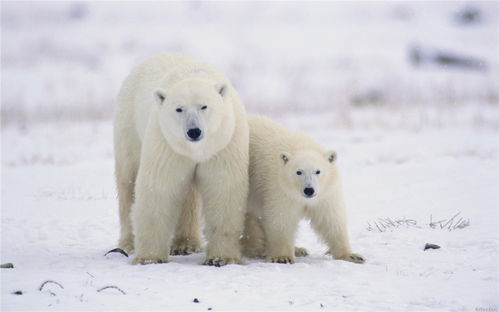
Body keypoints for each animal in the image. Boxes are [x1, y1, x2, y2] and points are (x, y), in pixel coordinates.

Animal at [115, 54, 252, 266]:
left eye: (204, 106)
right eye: (179, 109)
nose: (194, 131)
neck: (196, 150)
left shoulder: (223, 143)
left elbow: (223, 188)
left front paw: (220, 258)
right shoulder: (166, 143)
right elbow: (160, 187)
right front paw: (150, 258)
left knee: (188, 195)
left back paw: (186, 244)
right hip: (129, 125)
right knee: (127, 183)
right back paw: (127, 244)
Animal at [243, 116, 366, 264]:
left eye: (318, 171)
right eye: (298, 172)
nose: (309, 190)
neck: (300, 147)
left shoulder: (325, 193)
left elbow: (330, 219)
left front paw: (351, 255)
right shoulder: (279, 189)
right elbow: (281, 218)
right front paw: (282, 257)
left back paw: (298, 249)